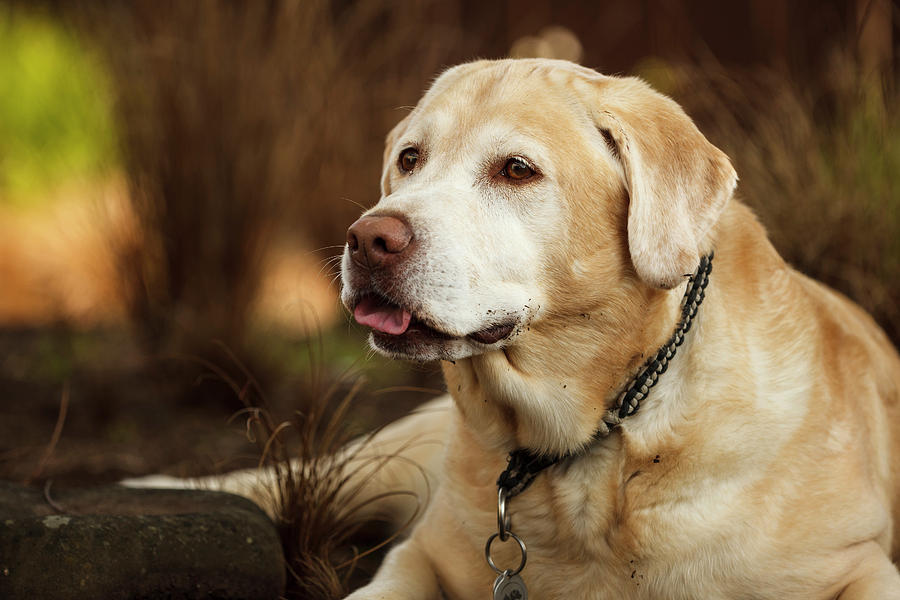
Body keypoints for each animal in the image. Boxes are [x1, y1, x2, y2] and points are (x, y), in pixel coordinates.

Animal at [130, 57, 900, 600]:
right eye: (410, 159)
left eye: (517, 170)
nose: (368, 239)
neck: (601, 438)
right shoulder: (423, 553)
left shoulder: (863, 566)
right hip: (395, 461)